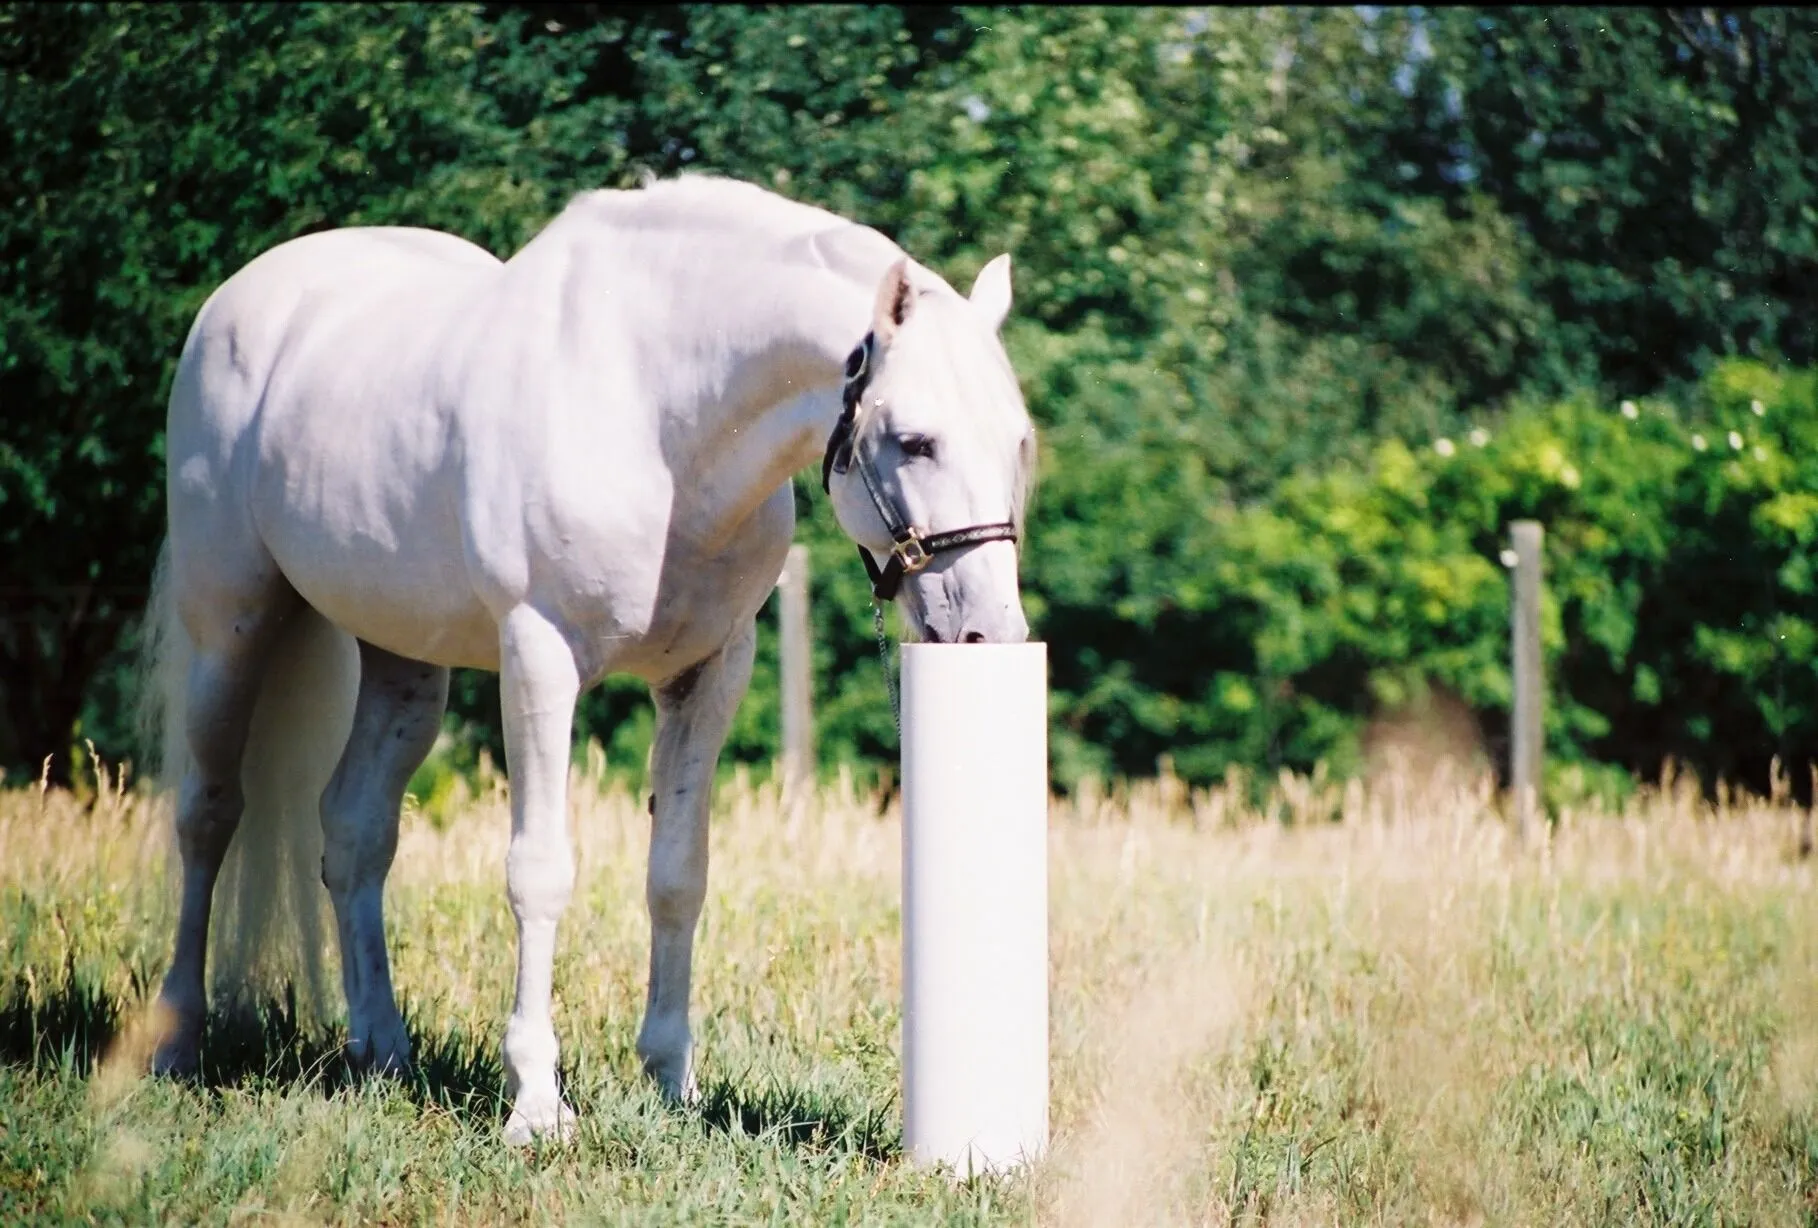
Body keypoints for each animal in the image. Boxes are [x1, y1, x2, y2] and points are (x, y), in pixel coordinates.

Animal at [139, 173, 1036, 1142]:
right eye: (915, 441)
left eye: (1018, 442)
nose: (988, 634)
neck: (655, 414)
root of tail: (247, 298)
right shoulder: (540, 657)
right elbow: (540, 872)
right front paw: (536, 1103)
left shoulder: (710, 673)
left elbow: (678, 875)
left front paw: (673, 1082)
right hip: (231, 627)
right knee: (207, 813)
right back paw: (176, 1041)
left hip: (402, 660)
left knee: (353, 830)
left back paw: (382, 1050)